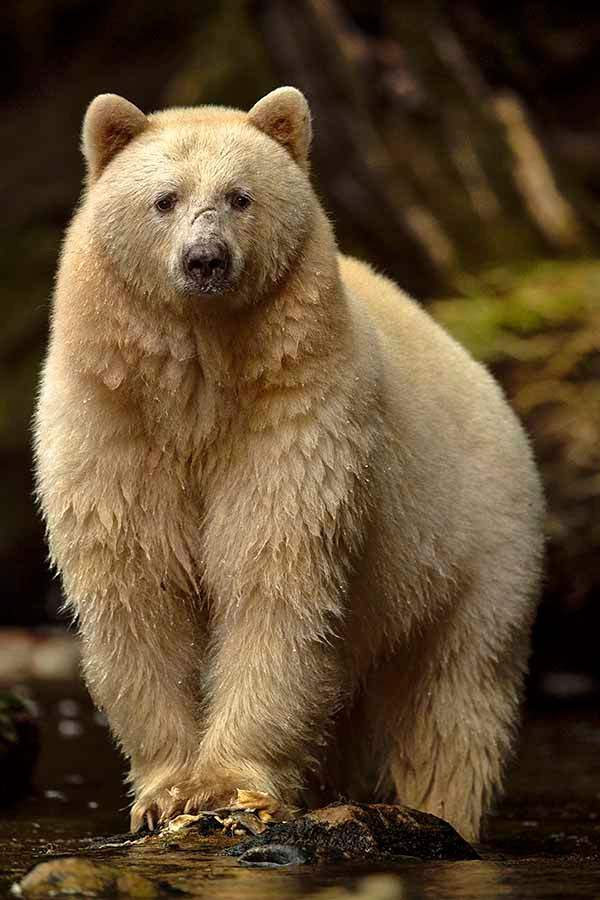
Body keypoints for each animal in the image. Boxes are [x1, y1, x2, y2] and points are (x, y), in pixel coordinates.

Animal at [34, 86, 544, 841]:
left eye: (240, 196)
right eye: (164, 198)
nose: (205, 259)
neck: (201, 384)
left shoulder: (296, 420)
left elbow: (274, 575)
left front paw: (225, 787)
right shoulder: (113, 425)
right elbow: (138, 587)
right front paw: (164, 791)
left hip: (475, 551)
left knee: (452, 702)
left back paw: (438, 807)